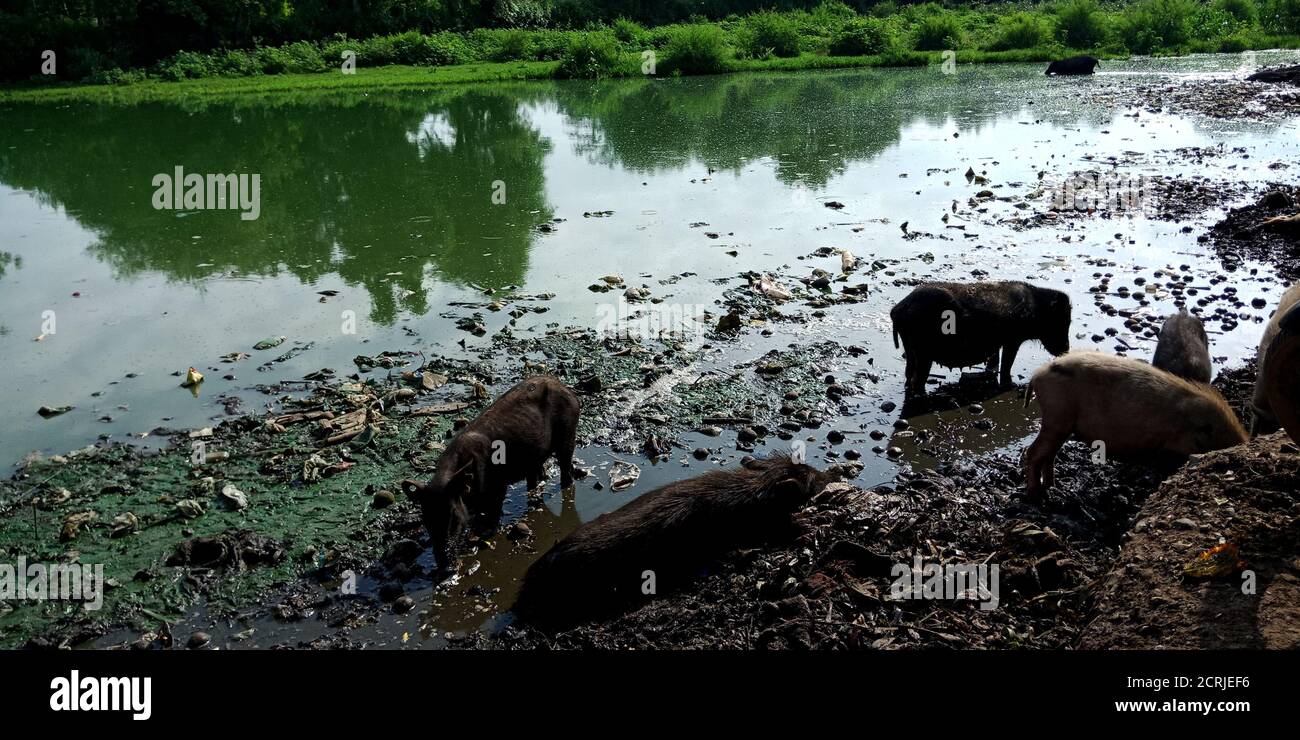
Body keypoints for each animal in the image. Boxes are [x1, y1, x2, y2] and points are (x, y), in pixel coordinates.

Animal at [400, 376, 579, 567]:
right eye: (426, 518)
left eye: (453, 516)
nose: (443, 564)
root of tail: (569, 392)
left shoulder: (499, 487)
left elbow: (494, 515)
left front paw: (486, 536)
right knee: (535, 478)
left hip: (568, 436)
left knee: (566, 470)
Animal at [890, 281, 1072, 396]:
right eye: (1061, 321)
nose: (1066, 349)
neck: (1035, 308)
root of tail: (898, 309)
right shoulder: (1012, 340)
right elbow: (1007, 362)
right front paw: (1009, 386)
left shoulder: (998, 344)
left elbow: (994, 360)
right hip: (923, 353)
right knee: (917, 379)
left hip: (910, 350)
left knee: (908, 373)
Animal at [1023, 352, 1247, 496]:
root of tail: (1038, 374)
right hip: (1056, 417)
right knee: (1034, 452)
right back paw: (1036, 493)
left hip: (1061, 424)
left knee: (1049, 455)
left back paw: (1051, 486)